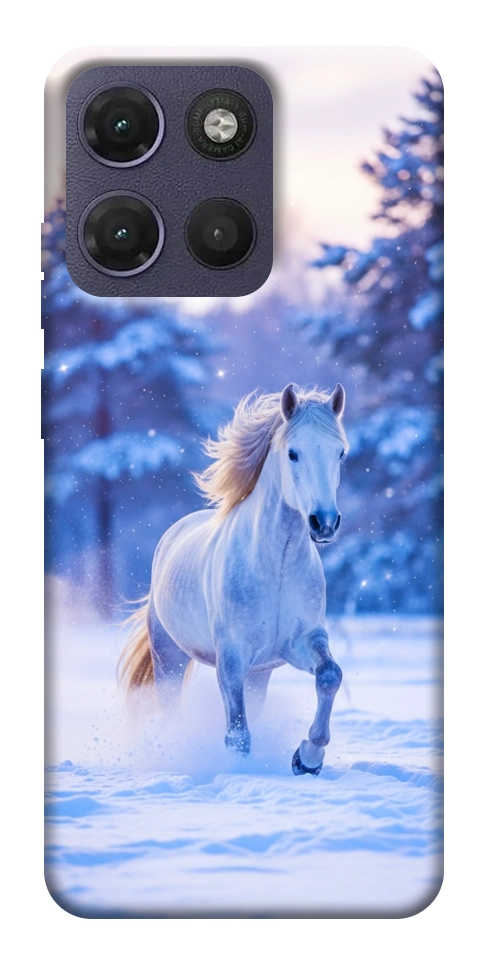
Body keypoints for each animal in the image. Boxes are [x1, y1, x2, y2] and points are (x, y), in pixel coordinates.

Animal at [119, 382, 348, 775]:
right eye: (293, 453)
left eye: (340, 454)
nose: (324, 523)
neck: (276, 567)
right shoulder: (231, 656)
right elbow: (237, 734)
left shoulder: (301, 642)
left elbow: (330, 676)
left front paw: (307, 758)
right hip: (169, 657)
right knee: (171, 709)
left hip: (259, 674)